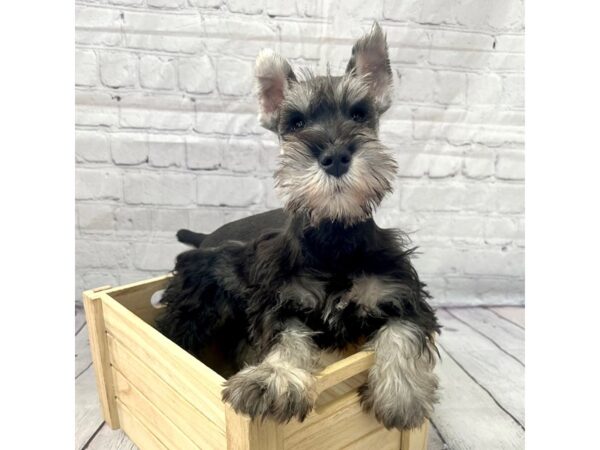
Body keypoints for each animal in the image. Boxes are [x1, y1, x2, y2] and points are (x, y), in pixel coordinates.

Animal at [158, 22, 440, 430]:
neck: (334, 240)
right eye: (296, 123)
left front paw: (401, 395)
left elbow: (401, 332)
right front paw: (272, 379)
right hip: (199, 297)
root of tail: (208, 237)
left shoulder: (398, 291)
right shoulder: (277, 298)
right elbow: (284, 337)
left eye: (360, 114)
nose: (334, 156)